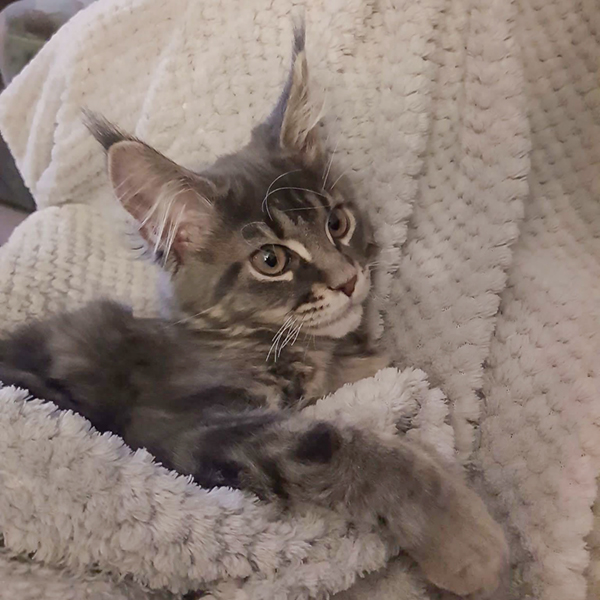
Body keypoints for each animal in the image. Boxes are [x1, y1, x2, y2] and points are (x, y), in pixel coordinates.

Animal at [0, 26, 508, 598]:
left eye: (337, 223)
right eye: (271, 261)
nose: (348, 280)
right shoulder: (174, 427)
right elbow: (336, 441)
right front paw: (463, 535)